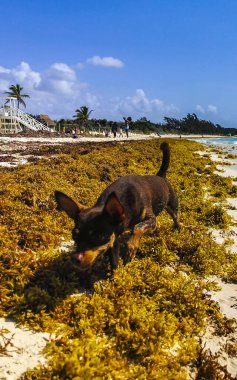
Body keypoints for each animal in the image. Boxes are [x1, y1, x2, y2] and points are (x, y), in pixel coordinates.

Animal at [54, 142, 179, 270]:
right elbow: (114, 260)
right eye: (74, 235)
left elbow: (138, 227)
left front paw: (131, 247)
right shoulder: (114, 239)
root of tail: (161, 176)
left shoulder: (151, 219)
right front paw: (116, 272)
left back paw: (178, 229)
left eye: (99, 237)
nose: (75, 258)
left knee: (175, 218)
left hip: (173, 206)